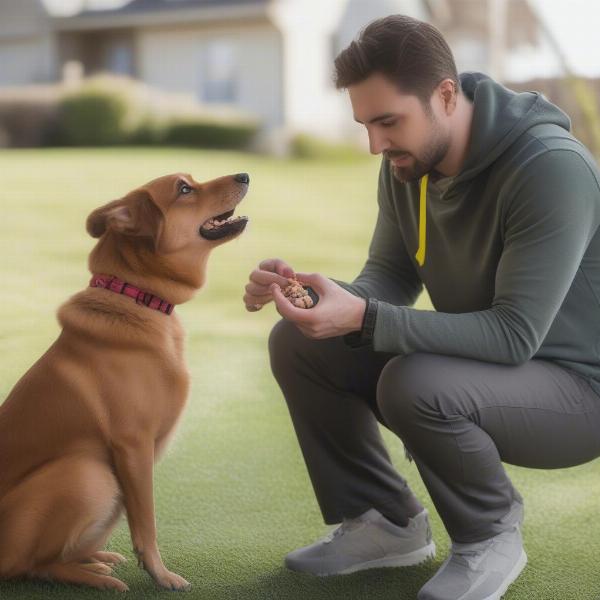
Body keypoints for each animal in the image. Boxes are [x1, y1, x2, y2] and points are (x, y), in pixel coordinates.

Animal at [0, 170, 250, 592]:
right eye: (185, 189)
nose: (245, 175)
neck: (138, 296)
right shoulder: (134, 446)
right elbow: (146, 521)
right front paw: (160, 574)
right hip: (90, 475)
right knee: (33, 565)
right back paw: (95, 579)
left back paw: (96, 560)